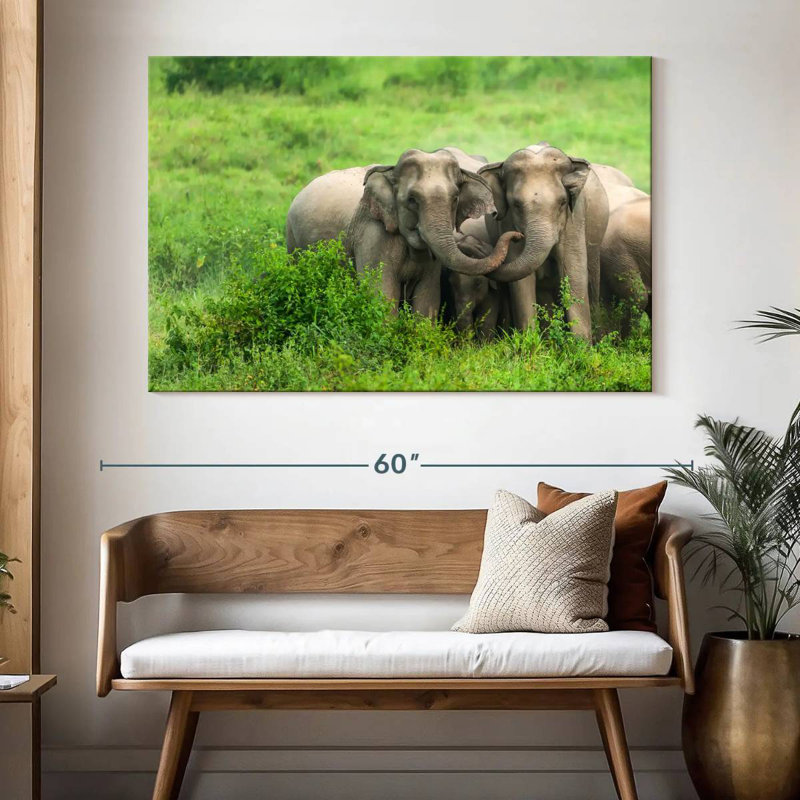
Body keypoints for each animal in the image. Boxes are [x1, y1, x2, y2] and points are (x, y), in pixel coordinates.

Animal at [285, 148, 522, 319]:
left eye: (455, 198)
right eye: (412, 200)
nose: (517, 236)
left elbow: (427, 299)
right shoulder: (372, 236)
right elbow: (382, 294)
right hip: (291, 240)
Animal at [476, 143, 611, 341]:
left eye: (563, 202)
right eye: (516, 205)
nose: (515, 236)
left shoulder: (575, 218)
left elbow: (573, 270)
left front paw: (580, 347)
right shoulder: (507, 221)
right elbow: (521, 280)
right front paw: (529, 343)